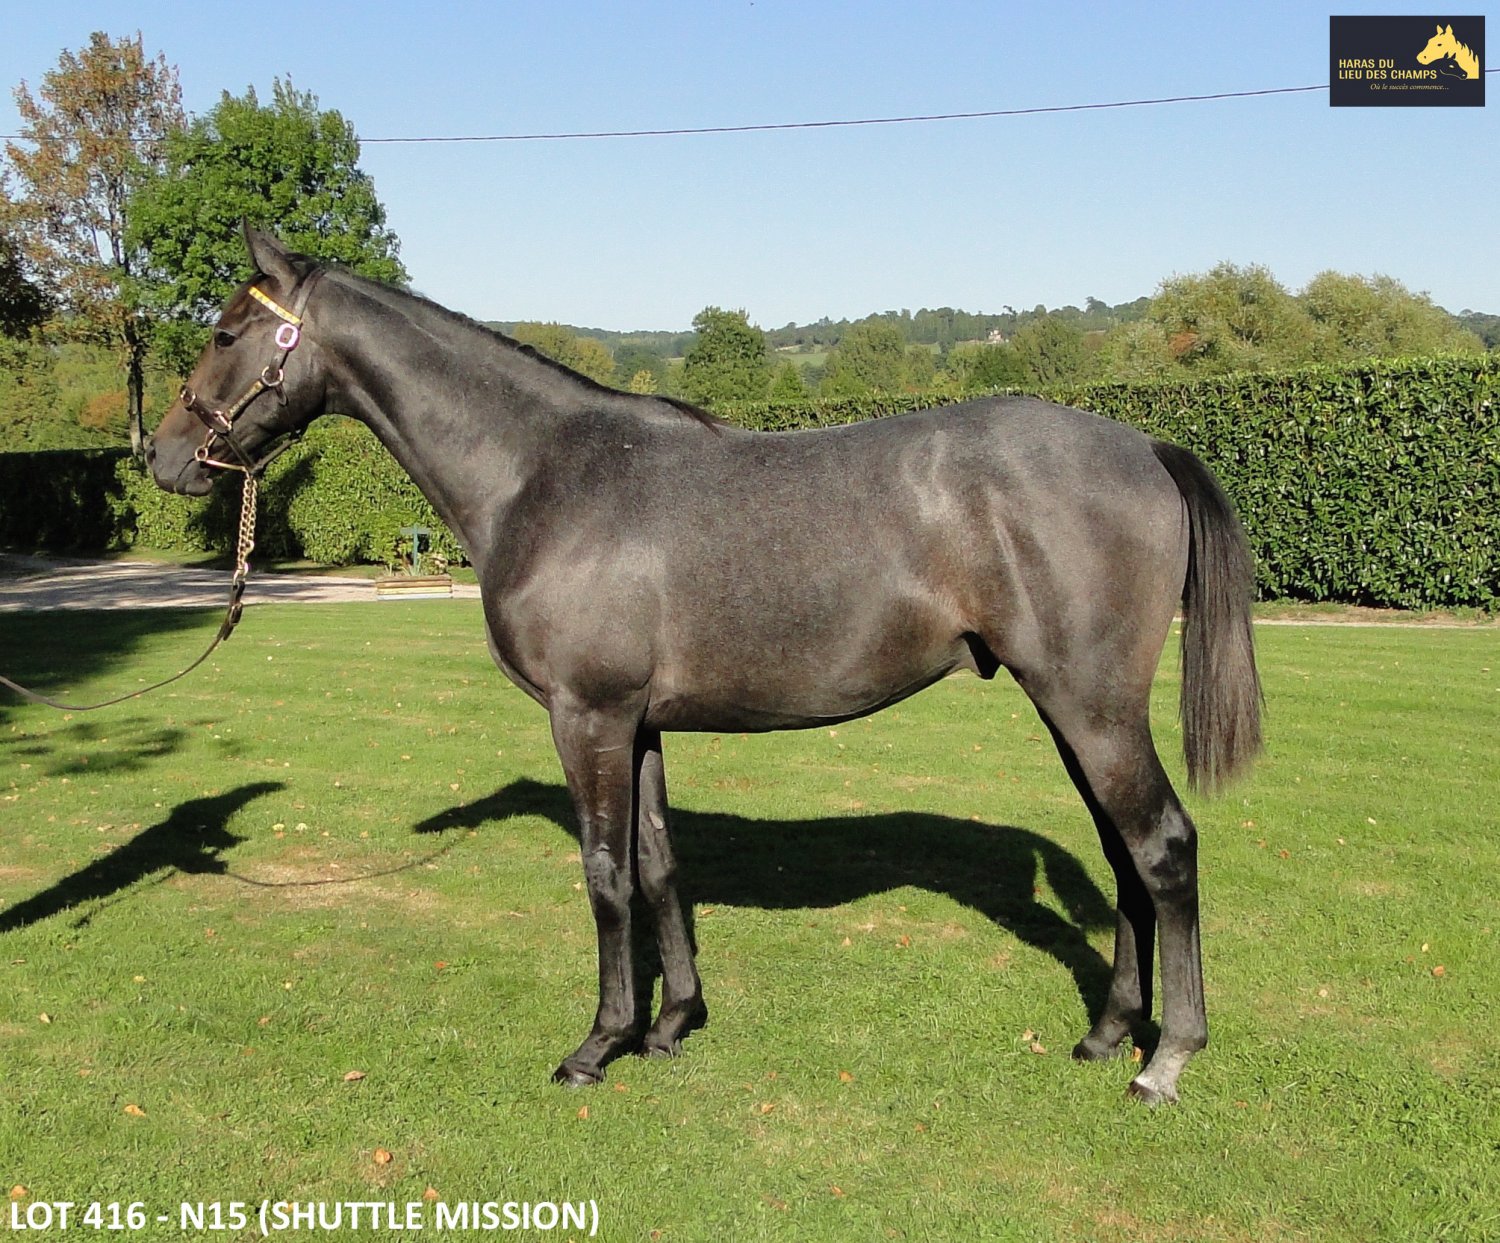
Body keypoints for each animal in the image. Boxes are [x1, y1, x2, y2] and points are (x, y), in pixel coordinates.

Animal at [146, 227, 1262, 1104]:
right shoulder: (638, 723)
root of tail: (1145, 446)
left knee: (1163, 848)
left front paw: (598, 1044)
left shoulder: (586, 715)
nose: (160, 456)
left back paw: (1166, 1059)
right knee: (1125, 857)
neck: (542, 472)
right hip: (1074, 710)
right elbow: (658, 863)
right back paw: (1108, 1031)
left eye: (226, 333)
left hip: (1091, 705)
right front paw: (675, 1020)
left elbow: (603, 874)